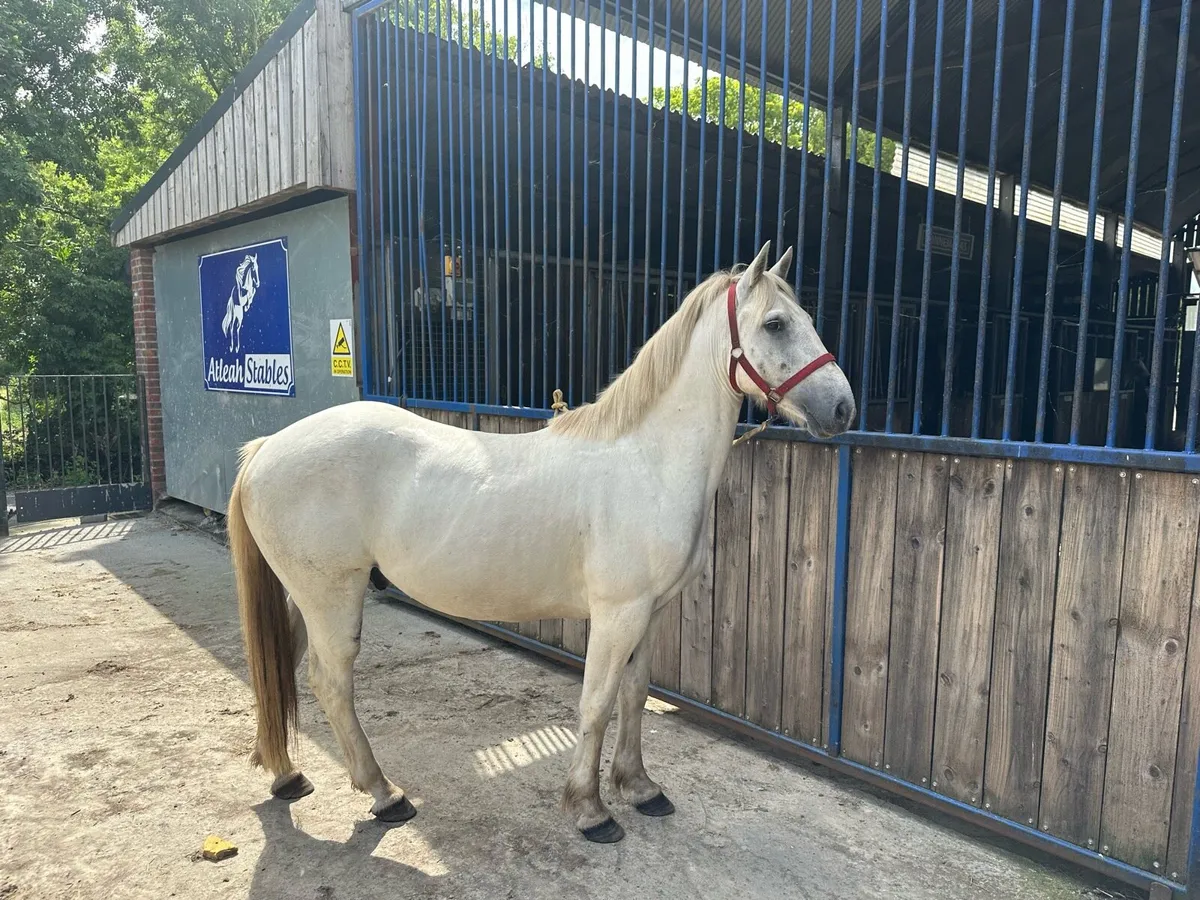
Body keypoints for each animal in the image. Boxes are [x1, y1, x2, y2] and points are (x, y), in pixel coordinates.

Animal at [227, 243, 855, 843]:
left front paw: (640, 787)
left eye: (808, 317)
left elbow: (635, 694)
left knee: (282, 664)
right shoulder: (617, 614)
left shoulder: (650, 612)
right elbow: (597, 702)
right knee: (331, 684)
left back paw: (285, 774)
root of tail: (266, 448)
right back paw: (385, 794)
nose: (843, 408)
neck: (647, 462)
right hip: (332, 598)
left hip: (304, 597)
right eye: (775, 323)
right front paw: (590, 810)